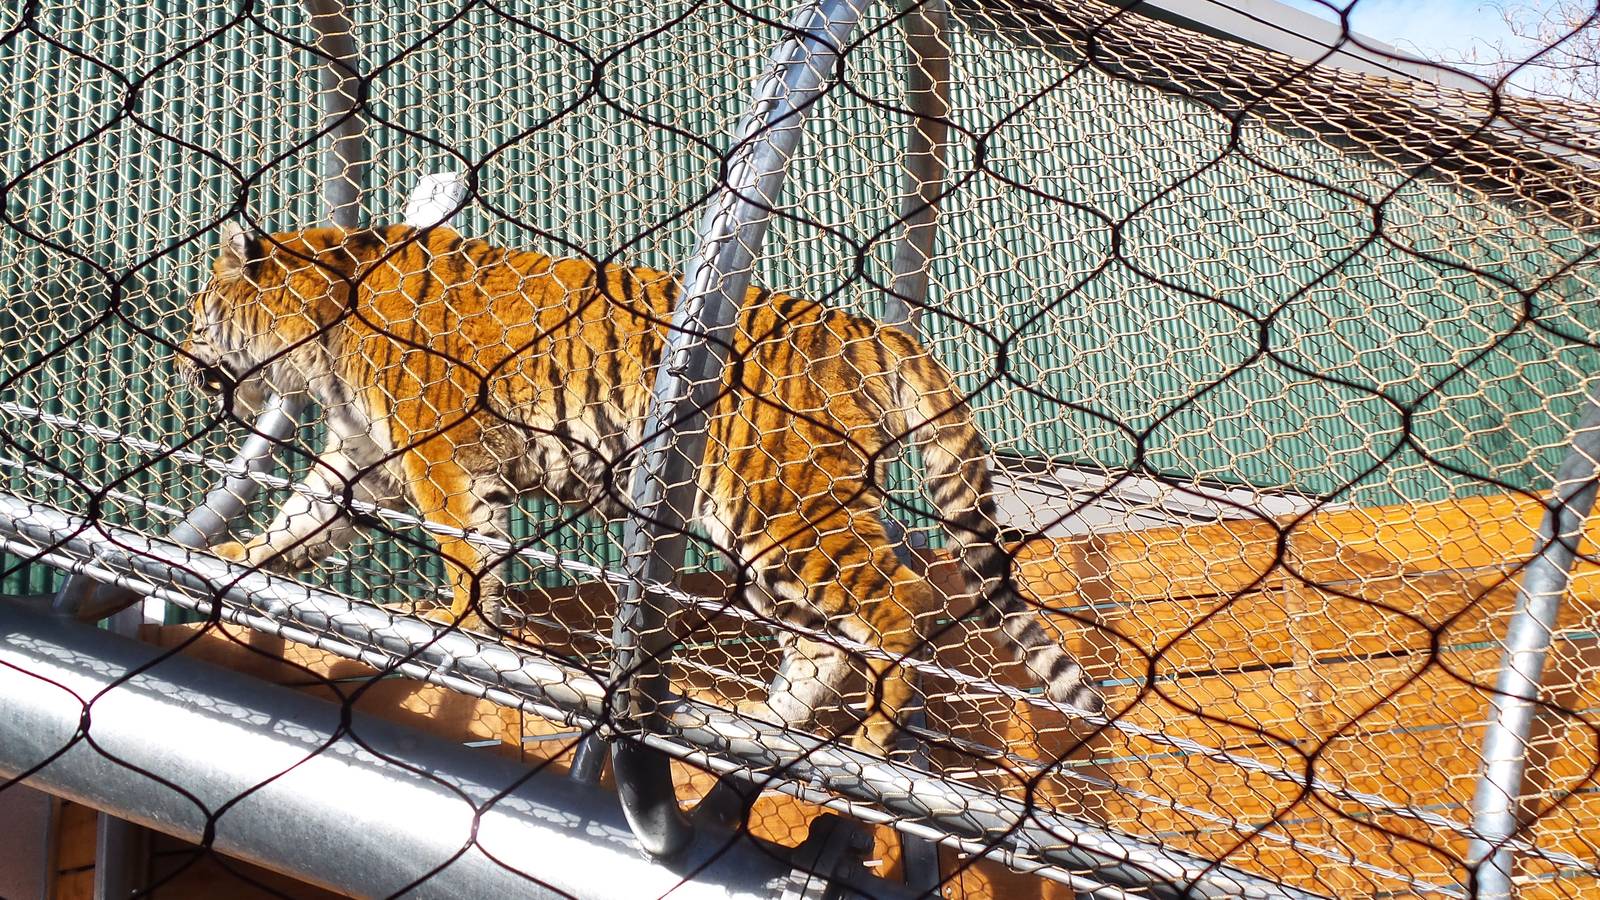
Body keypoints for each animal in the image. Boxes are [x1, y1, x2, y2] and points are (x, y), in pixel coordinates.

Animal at [178, 221, 1104, 752]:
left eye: (196, 314)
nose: (182, 361)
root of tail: (872, 327)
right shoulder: (362, 457)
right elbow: (299, 520)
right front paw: (235, 554)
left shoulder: (439, 456)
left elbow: (469, 554)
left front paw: (459, 625)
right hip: (764, 544)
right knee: (824, 642)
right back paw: (768, 725)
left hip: (785, 508)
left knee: (901, 602)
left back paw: (874, 738)